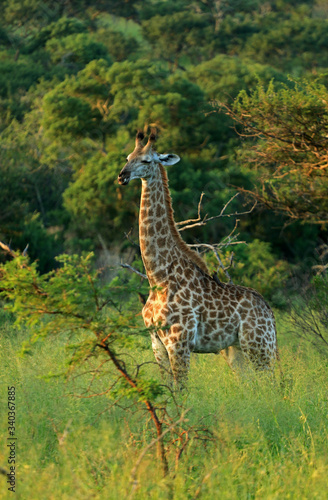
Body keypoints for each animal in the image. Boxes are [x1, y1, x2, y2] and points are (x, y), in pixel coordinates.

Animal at [118, 131, 276, 384]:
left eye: (146, 160)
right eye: (128, 157)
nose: (122, 176)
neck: (158, 277)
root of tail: (270, 312)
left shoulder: (178, 342)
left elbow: (181, 389)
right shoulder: (156, 344)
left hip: (259, 346)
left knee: (274, 384)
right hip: (236, 350)